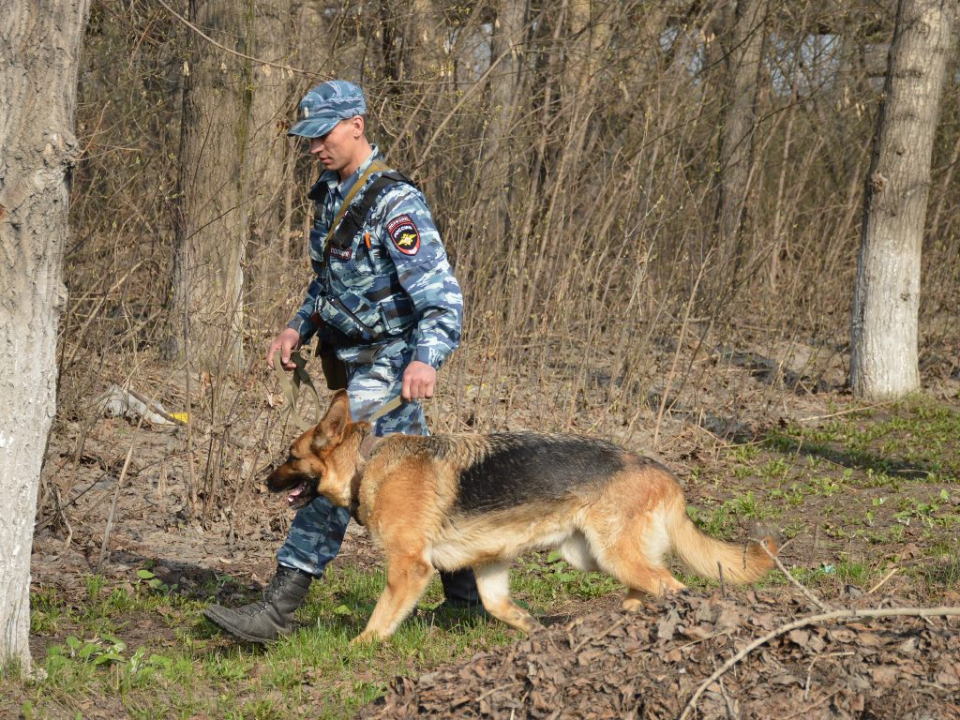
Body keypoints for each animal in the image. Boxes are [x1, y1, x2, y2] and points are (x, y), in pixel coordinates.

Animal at [266, 390, 776, 644]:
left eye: (289, 456)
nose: (264, 482)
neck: (366, 464)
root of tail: (663, 472)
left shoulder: (409, 569)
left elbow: (379, 619)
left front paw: (360, 647)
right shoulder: (489, 563)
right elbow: (499, 607)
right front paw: (534, 633)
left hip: (611, 554)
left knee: (672, 586)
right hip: (590, 555)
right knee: (646, 585)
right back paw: (621, 624)